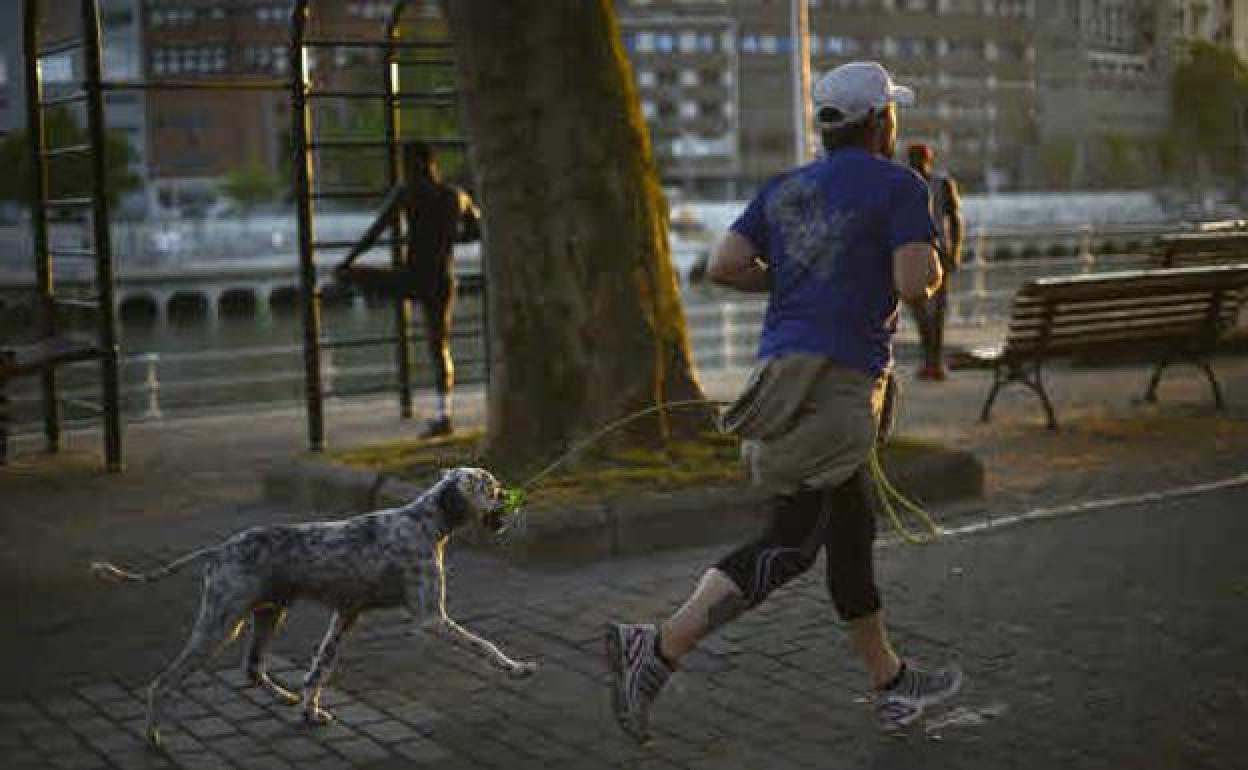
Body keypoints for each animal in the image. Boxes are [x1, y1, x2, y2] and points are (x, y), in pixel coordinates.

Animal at [90, 464, 534, 748]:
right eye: (491, 487)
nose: (510, 497)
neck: (423, 522)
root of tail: (218, 551)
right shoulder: (432, 620)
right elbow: (485, 645)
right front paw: (516, 668)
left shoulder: (346, 615)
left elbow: (318, 671)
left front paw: (309, 712)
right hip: (219, 627)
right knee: (162, 683)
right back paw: (152, 737)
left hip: (269, 616)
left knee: (252, 668)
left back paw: (284, 697)